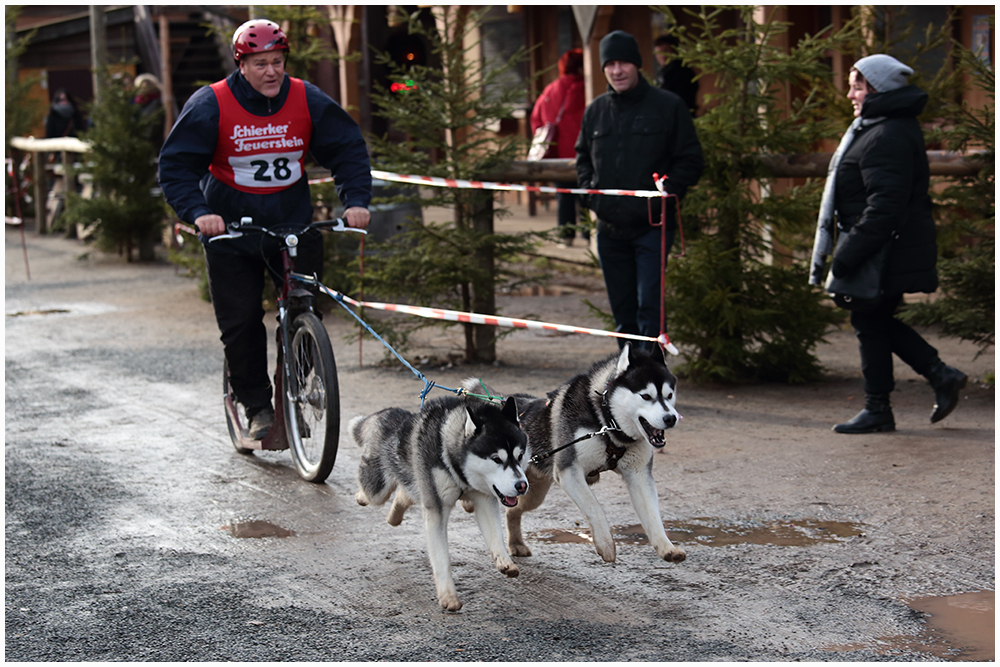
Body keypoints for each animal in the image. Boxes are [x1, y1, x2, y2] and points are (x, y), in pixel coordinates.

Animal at [352, 396, 528, 612]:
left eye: (520, 456)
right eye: (496, 459)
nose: (522, 485)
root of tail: (390, 413)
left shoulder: (484, 499)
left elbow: (496, 536)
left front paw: (504, 560)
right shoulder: (436, 509)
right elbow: (442, 558)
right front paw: (448, 596)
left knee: (406, 492)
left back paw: (394, 515)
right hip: (378, 488)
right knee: (371, 490)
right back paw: (360, 496)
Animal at [464, 348, 684, 568]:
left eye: (669, 395)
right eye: (646, 396)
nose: (671, 418)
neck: (606, 421)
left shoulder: (639, 476)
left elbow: (653, 516)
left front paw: (667, 547)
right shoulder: (569, 471)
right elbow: (594, 507)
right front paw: (605, 543)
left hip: (532, 493)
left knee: (513, 510)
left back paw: (516, 544)